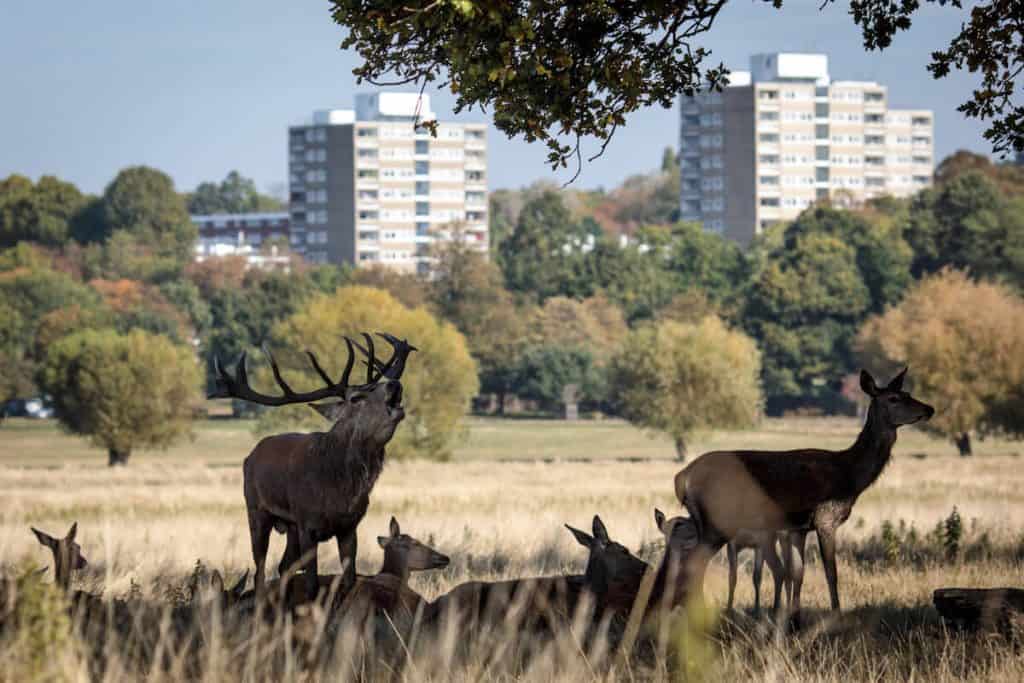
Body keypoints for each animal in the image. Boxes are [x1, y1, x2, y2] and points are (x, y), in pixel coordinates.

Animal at [209, 332, 415, 603]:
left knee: (283, 566)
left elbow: (349, 581)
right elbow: (311, 585)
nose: (394, 384)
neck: (338, 490)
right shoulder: (308, 524)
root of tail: (251, 455)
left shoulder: (349, 527)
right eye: (355, 398)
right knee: (260, 570)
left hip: (290, 527)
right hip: (256, 510)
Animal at [674, 368, 934, 615]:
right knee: (693, 565)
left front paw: (795, 618)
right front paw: (836, 614)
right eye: (893, 398)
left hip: (705, 523)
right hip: (717, 522)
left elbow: (798, 574)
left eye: (908, 393)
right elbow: (831, 573)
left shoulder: (798, 528)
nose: (929, 408)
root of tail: (683, 477)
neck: (849, 476)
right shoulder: (825, 518)